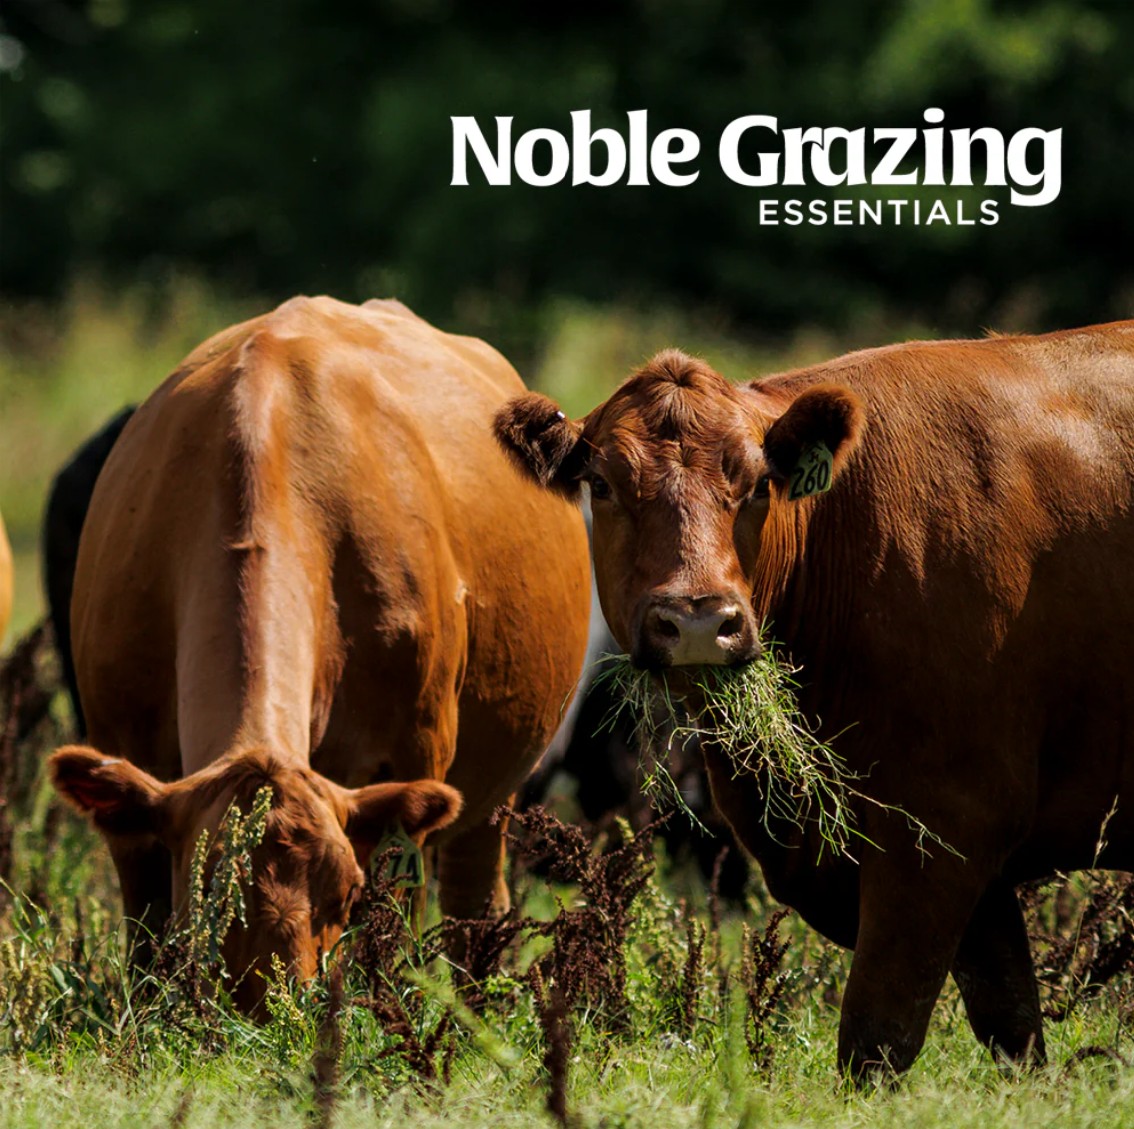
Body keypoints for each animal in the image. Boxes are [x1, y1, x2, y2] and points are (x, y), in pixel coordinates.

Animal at [50, 296, 592, 1015]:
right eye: (210, 896)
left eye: (345, 892)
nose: (274, 1016)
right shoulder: (124, 766)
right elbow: (145, 944)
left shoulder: (412, 760)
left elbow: (391, 943)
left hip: (496, 789)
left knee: (475, 901)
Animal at [494, 323, 1134, 1079]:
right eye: (601, 483)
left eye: (757, 483)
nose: (699, 619)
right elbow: (1014, 1031)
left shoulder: (942, 831)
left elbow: (877, 1037)